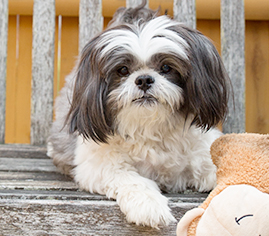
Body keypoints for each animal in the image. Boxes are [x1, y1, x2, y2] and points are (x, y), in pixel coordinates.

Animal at [46, 1, 228, 227]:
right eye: (123, 70)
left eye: (166, 67)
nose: (143, 79)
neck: (150, 126)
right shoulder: (99, 165)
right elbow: (132, 179)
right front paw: (148, 206)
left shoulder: (203, 152)